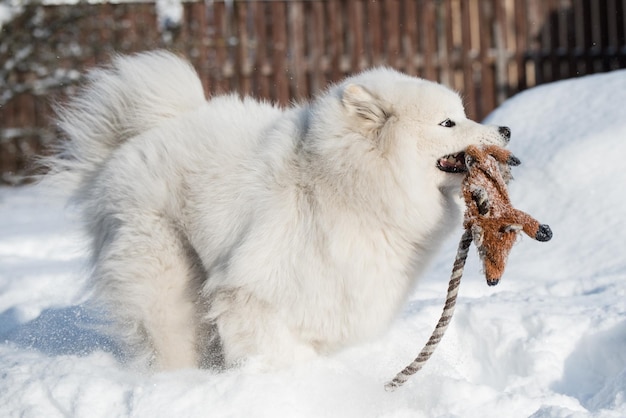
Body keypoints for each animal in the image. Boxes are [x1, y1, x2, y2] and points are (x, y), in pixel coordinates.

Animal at [46, 51, 510, 370]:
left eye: (462, 114)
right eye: (448, 123)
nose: (504, 129)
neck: (343, 184)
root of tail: (134, 139)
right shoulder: (252, 293)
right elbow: (275, 352)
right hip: (165, 274)